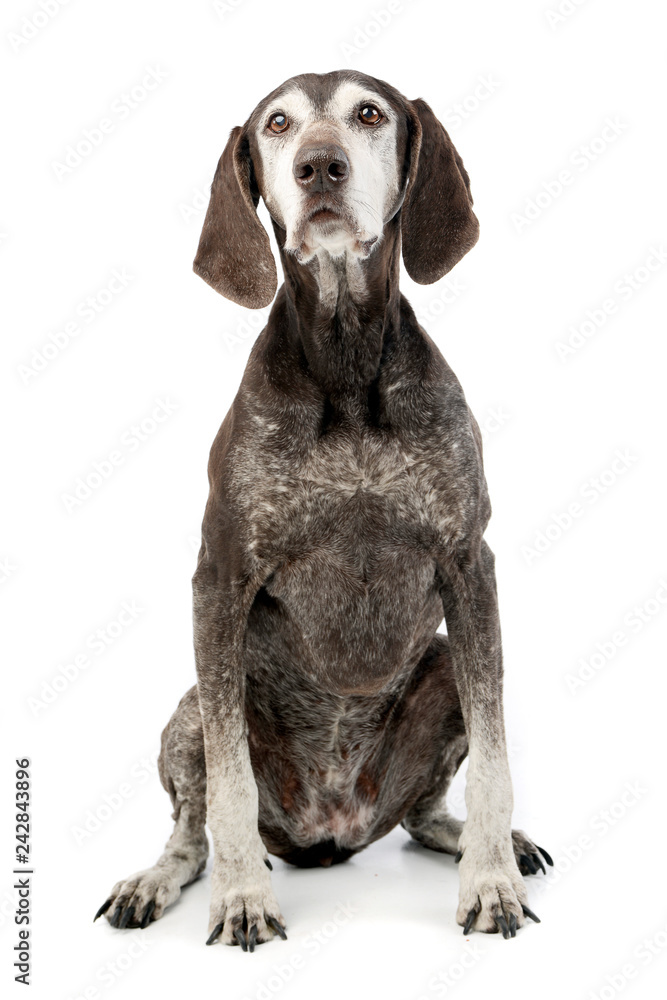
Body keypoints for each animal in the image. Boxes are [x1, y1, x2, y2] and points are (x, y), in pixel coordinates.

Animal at [94, 72, 552, 952]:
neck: (344, 366)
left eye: (367, 113)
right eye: (277, 125)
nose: (318, 167)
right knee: (190, 831)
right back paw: (155, 880)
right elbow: (229, 794)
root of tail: (333, 828)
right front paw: (242, 899)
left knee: (422, 814)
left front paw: (489, 881)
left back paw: (482, 845)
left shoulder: (467, 565)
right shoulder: (219, 579)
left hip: (441, 665)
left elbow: (495, 764)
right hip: (190, 710)